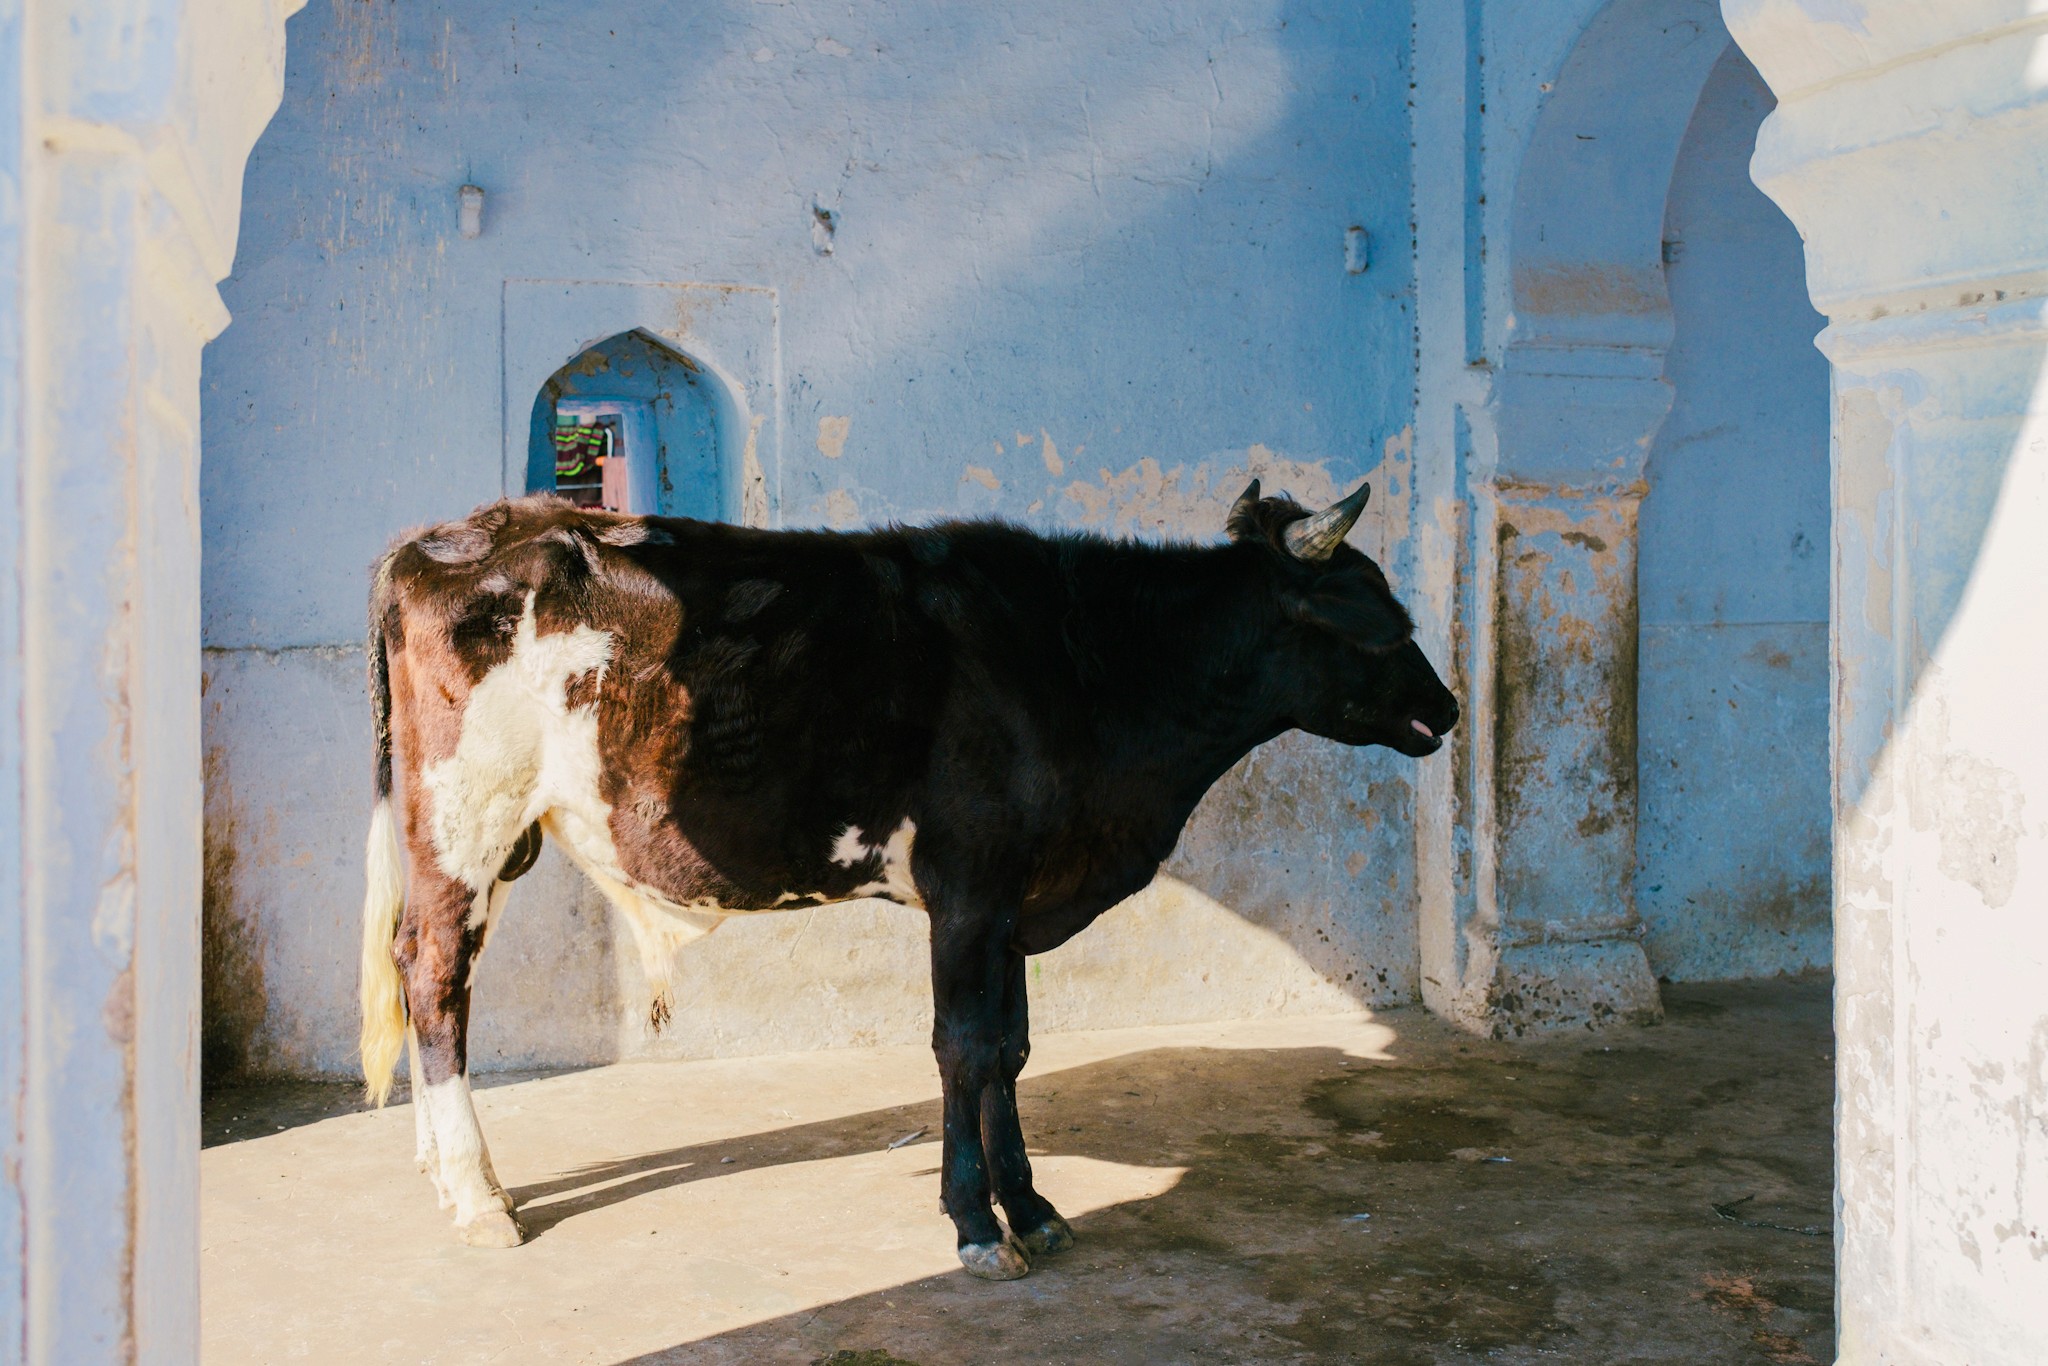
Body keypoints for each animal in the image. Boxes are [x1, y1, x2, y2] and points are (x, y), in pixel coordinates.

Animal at [357, 479, 1458, 1279]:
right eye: (1374, 614)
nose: (1446, 709)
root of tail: (444, 536)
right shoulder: (966, 888)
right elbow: (963, 1049)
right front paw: (974, 1223)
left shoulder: (1011, 900)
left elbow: (1011, 1049)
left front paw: (1034, 1207)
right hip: (466, 817)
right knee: (437, 976)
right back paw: (479, 1194)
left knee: (421, 977)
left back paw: (441, 1171)